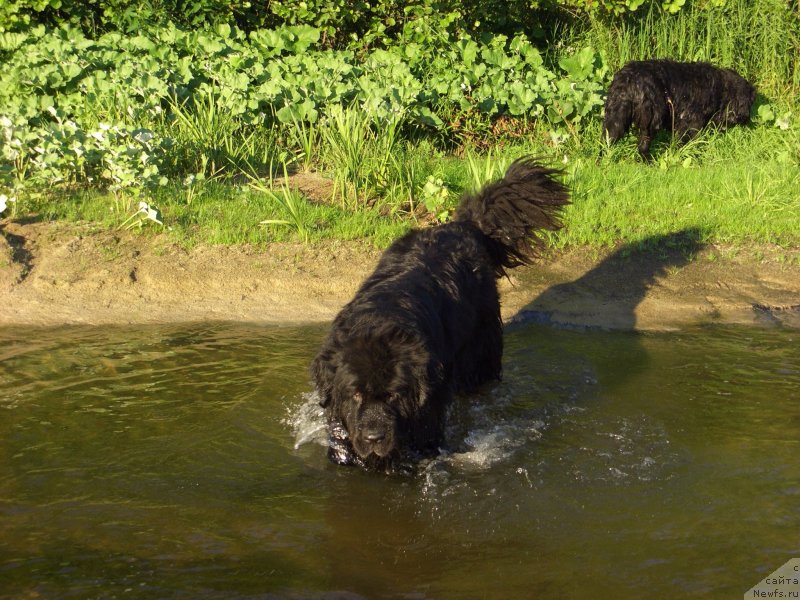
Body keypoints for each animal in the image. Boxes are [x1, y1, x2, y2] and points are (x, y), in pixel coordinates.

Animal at [310, 157, 568, 472]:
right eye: (356, 394)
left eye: (394, 395)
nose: (373, 437)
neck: (381, 319)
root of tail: (463, 225)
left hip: (480, 347)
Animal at [608, 59, 756, 161]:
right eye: (748, 102)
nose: (746, 118)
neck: (720, 87)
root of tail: (630, 80)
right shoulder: (690, 122)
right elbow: (685, 142)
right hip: (651, 119)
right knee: (643, 145)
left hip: (616, 116)